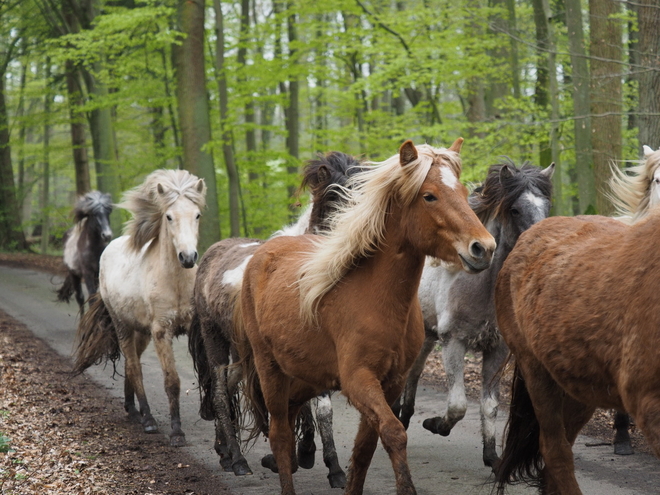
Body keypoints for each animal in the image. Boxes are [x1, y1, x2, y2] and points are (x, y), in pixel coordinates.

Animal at [72, 169, 206, 448]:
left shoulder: (191, 329)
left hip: (141, 332)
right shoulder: (162, 333)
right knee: (134, 366)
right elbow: (171, 381)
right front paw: (177, 433)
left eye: (197, 215)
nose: (188, 257)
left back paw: (132, 409)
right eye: (169, 216)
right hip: (122, 326)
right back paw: (147, 419)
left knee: (130, 364)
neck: (176, 281)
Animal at [187, 150, 366, 484]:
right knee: (219, 393)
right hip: (214, 336)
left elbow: (322, 407)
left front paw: (330, 466)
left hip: (241, 350)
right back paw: (238, 460)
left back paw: (224, 451)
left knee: (229, 386)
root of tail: (212, 252)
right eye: (333, 196)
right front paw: (292, 456)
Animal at [232, 140, 496, 495]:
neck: (376, 299)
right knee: (280, 435)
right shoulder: (358, 380)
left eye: (464, 191)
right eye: (429, 196)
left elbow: (364, 450)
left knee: (289, 421)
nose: (484, 248)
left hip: (303, 377)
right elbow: (395, 433)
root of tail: (261, 254)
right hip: (270, 368)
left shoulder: (392, 383)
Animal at [394, 160, 556, 468]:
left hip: (427, 336)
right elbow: (457, 405)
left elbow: (489, 406)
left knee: (414, 372)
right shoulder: (454, 342)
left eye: (547, 206)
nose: (541, 246)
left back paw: (404, 415)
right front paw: (435, 424)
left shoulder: (497, 349)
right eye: (514, 209)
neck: (483, 286)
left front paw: (491, 455)